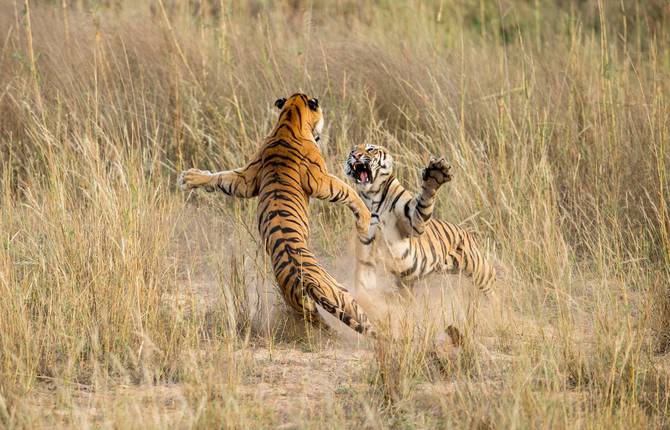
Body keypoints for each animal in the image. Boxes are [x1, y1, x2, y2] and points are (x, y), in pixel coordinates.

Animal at [178, 94, 378, 336]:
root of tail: (307, 282)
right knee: (364, 321)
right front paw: (365, 219)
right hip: (341, 293)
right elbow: (347, 191)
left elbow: (222, 178)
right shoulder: (320, 180)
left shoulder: (247, 179)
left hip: (308, 306)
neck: (289, 119)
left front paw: (190, 178)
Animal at [350, 144, 496, 296]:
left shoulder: (413, 222)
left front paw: (436, 173)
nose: (356, 155)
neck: (373, 195)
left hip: (480, 269)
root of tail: (468, 234)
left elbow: (425, 199)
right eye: (353, 151)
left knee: (492, 280)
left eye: (370, 149)